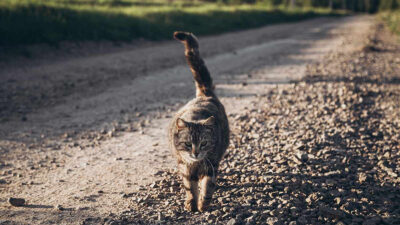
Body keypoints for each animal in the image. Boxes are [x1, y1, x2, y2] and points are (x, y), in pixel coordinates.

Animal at [169, 31, 230, 213]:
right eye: (188, 144)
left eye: (204, 143)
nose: (195, 153)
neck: (195, 164)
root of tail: (205, 95)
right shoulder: (185, 168)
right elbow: (190, 188)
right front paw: (191, 203)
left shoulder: (211, 166)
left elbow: (208, 186)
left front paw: (203, 204)